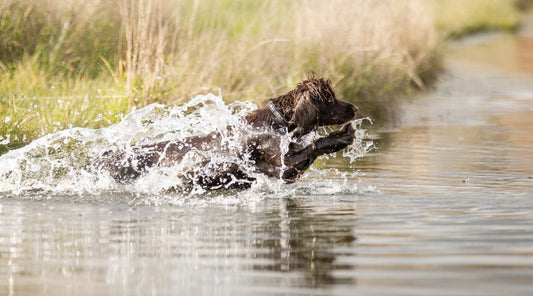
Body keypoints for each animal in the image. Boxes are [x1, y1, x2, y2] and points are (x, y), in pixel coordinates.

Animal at [100, 74, 358, 190]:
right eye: (330, 99)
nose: (355, 108)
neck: (276, 123)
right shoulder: (281, 167)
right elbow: (313, 149)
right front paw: (343, 136)